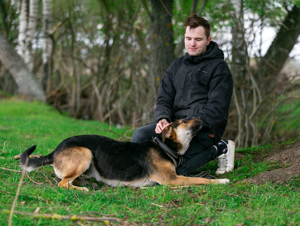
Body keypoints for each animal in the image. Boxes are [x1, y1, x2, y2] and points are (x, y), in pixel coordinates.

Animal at [19, 116, 230, 191]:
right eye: (184, 121)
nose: (201, 117)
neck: (164, 147)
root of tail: (55, 150)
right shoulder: (173, 180)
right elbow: (202, 180)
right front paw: (222, 181)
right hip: (85, 152)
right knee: (63, 183)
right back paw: (81, 188)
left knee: (69, 180)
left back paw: (86, 182)